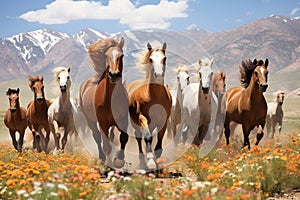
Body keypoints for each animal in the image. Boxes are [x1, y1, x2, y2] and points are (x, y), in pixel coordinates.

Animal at [79, 37, 128, 169]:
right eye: (106, 55)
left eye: (122, 55)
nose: (114, 74)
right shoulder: (103, 123)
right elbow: (106, 146)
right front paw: (109, 164)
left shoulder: (123, 120)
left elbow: (124, 138)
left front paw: (119, 160)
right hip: (90, 120)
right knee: (97, 137)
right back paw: (102, 158)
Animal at [126, 41, 172, 169]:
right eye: (151, 59)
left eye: (164, 58)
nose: (159, 75)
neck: (155, 97)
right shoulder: (142, 117)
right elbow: (147, 137)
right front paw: (151, 161)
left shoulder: (163, 120)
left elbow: (159, 141)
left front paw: (157, 160)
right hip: (135, 123)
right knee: (138, 137)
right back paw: (142, 159)